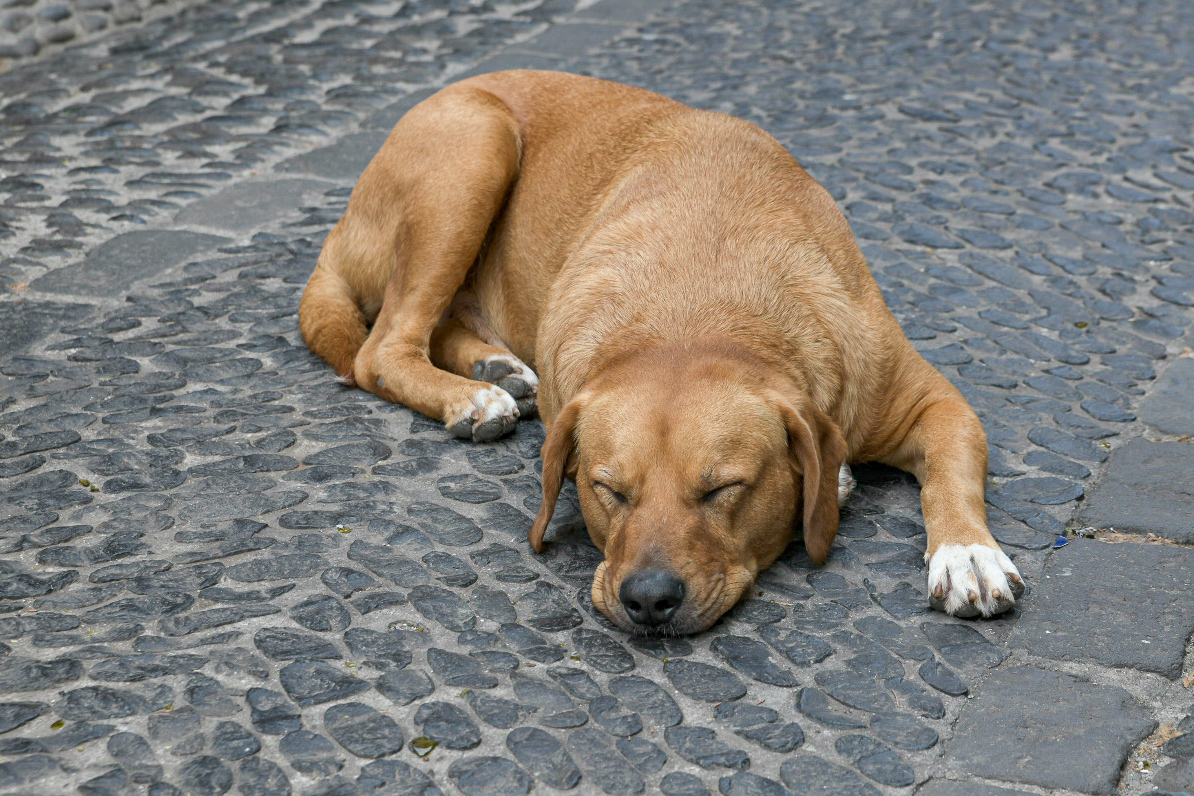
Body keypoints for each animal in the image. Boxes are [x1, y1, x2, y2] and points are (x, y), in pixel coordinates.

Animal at [300, 71, 1026, 639]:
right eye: (607, 490)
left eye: (723, 489)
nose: (649, 599)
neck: (698, 305)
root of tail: (340, 227)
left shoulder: (935, 403)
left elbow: (951, 477)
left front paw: (967, 552)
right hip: (475, 150)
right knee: (382, 348)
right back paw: (470, 393)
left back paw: (491, 367)